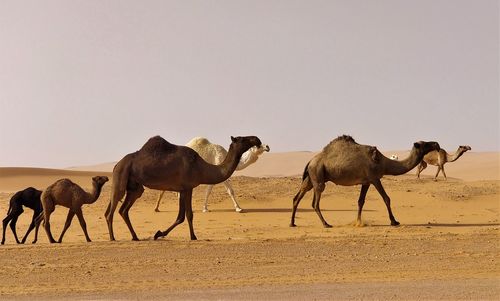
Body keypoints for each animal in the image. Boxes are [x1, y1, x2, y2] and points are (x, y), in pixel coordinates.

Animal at [105, 135, 262, 240]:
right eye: (242, 139)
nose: (257, 139)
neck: (201, 167)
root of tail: (117, 164)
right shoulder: (187, 188)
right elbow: (188, 215)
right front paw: (193, 236)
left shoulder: (182, 189)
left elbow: (181, 216)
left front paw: (159, 234)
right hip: (120, 176)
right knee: (111, 210)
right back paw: (113, 238)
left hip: (135, 188)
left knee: (123, 210)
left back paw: (135, 237)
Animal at [290, 135, 438, 226]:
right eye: (425, 144)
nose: (436, 143)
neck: (383, 163)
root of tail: (310, 161)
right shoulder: (374, 178)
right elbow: (386, 198)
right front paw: (394, 221)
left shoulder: (366, 182)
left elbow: (361, 201)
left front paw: (358, 222)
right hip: (318, 175)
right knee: (315, 202)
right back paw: (326, 224)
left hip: (310, 177)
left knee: (298, 196)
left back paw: (292, 223)